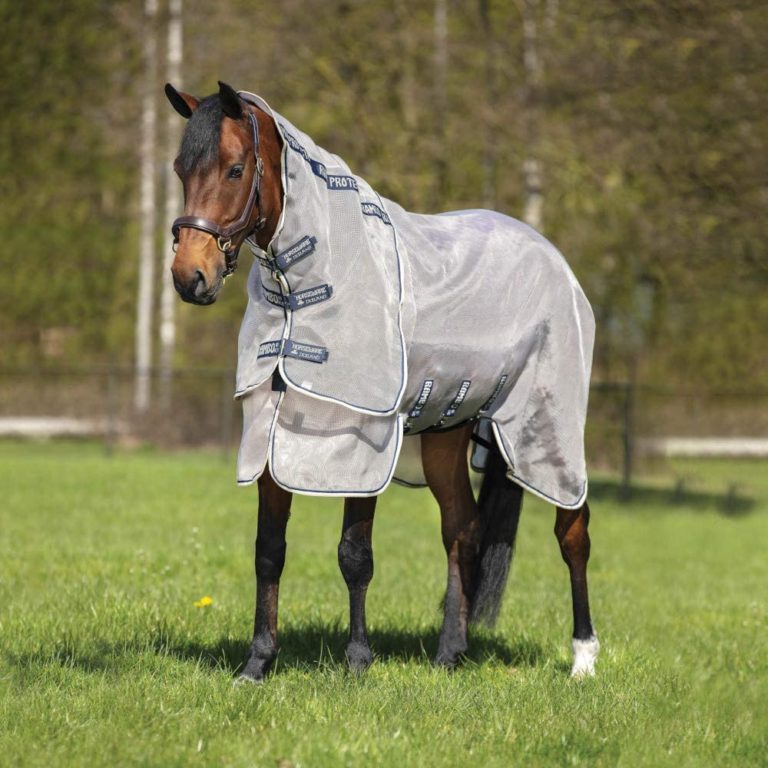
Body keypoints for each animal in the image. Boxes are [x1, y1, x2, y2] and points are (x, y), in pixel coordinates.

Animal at [164, 80, 599, 682]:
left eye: (234, 169)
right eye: (181, 169)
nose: (190, 277)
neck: (310, 285)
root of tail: (552, 256)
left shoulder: (361, 435)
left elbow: (355, 554)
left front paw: (357, 661)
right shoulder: (272, 435)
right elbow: (269, 549)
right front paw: (257, 662)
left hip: (547, 426)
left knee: (572, 533)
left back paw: (583, 658)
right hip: (445, 434)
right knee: (462, 530)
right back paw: (450, 652)